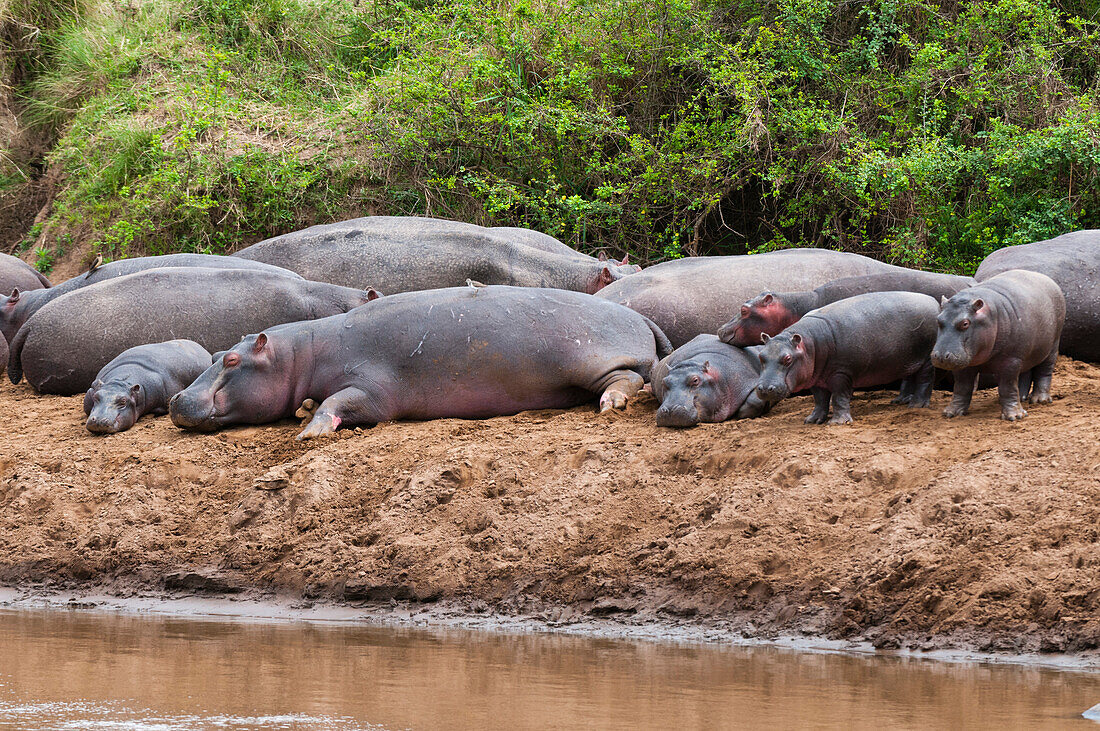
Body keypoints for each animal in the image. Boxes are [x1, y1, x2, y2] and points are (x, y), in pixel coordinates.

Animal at [169, 283, 668, 433]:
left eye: (232, 362)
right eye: (218, 352)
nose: (175, 400)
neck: (303, 352)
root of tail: (637, 315)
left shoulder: (372, 388)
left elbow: (340, 402)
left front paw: (309, 431)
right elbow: (318, 400)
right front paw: (305, 410)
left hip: (592, 360)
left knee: (627, 379)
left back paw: (610, 406)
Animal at [756, 294, 937, 424]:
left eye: (787, 358)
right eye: (761, 356)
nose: (764, 388)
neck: (809, 343)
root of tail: (934, 302)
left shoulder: (842, 373)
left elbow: (838, 397)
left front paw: (838, 422)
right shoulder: (815, 377)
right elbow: (819, 400)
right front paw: (812, 420)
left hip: (927, 358)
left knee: (925, 380)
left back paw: (917, 405)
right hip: (909, 359)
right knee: (909, 377)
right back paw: (900, 401)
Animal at [932, 268, 1060, 419]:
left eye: (965, 323)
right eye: (938, 319)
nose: (940, 356)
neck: (989, 315)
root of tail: (1049, 280)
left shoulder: (1011, 360)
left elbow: (1007, 386)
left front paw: (1015, 416)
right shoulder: (963, 363)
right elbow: (962, 386)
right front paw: (952, 412)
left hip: (1052, 347)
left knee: (1044, 371)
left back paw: (1040, 400)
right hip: (1026, 353)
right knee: (1025, 372)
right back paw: (1021, 398)